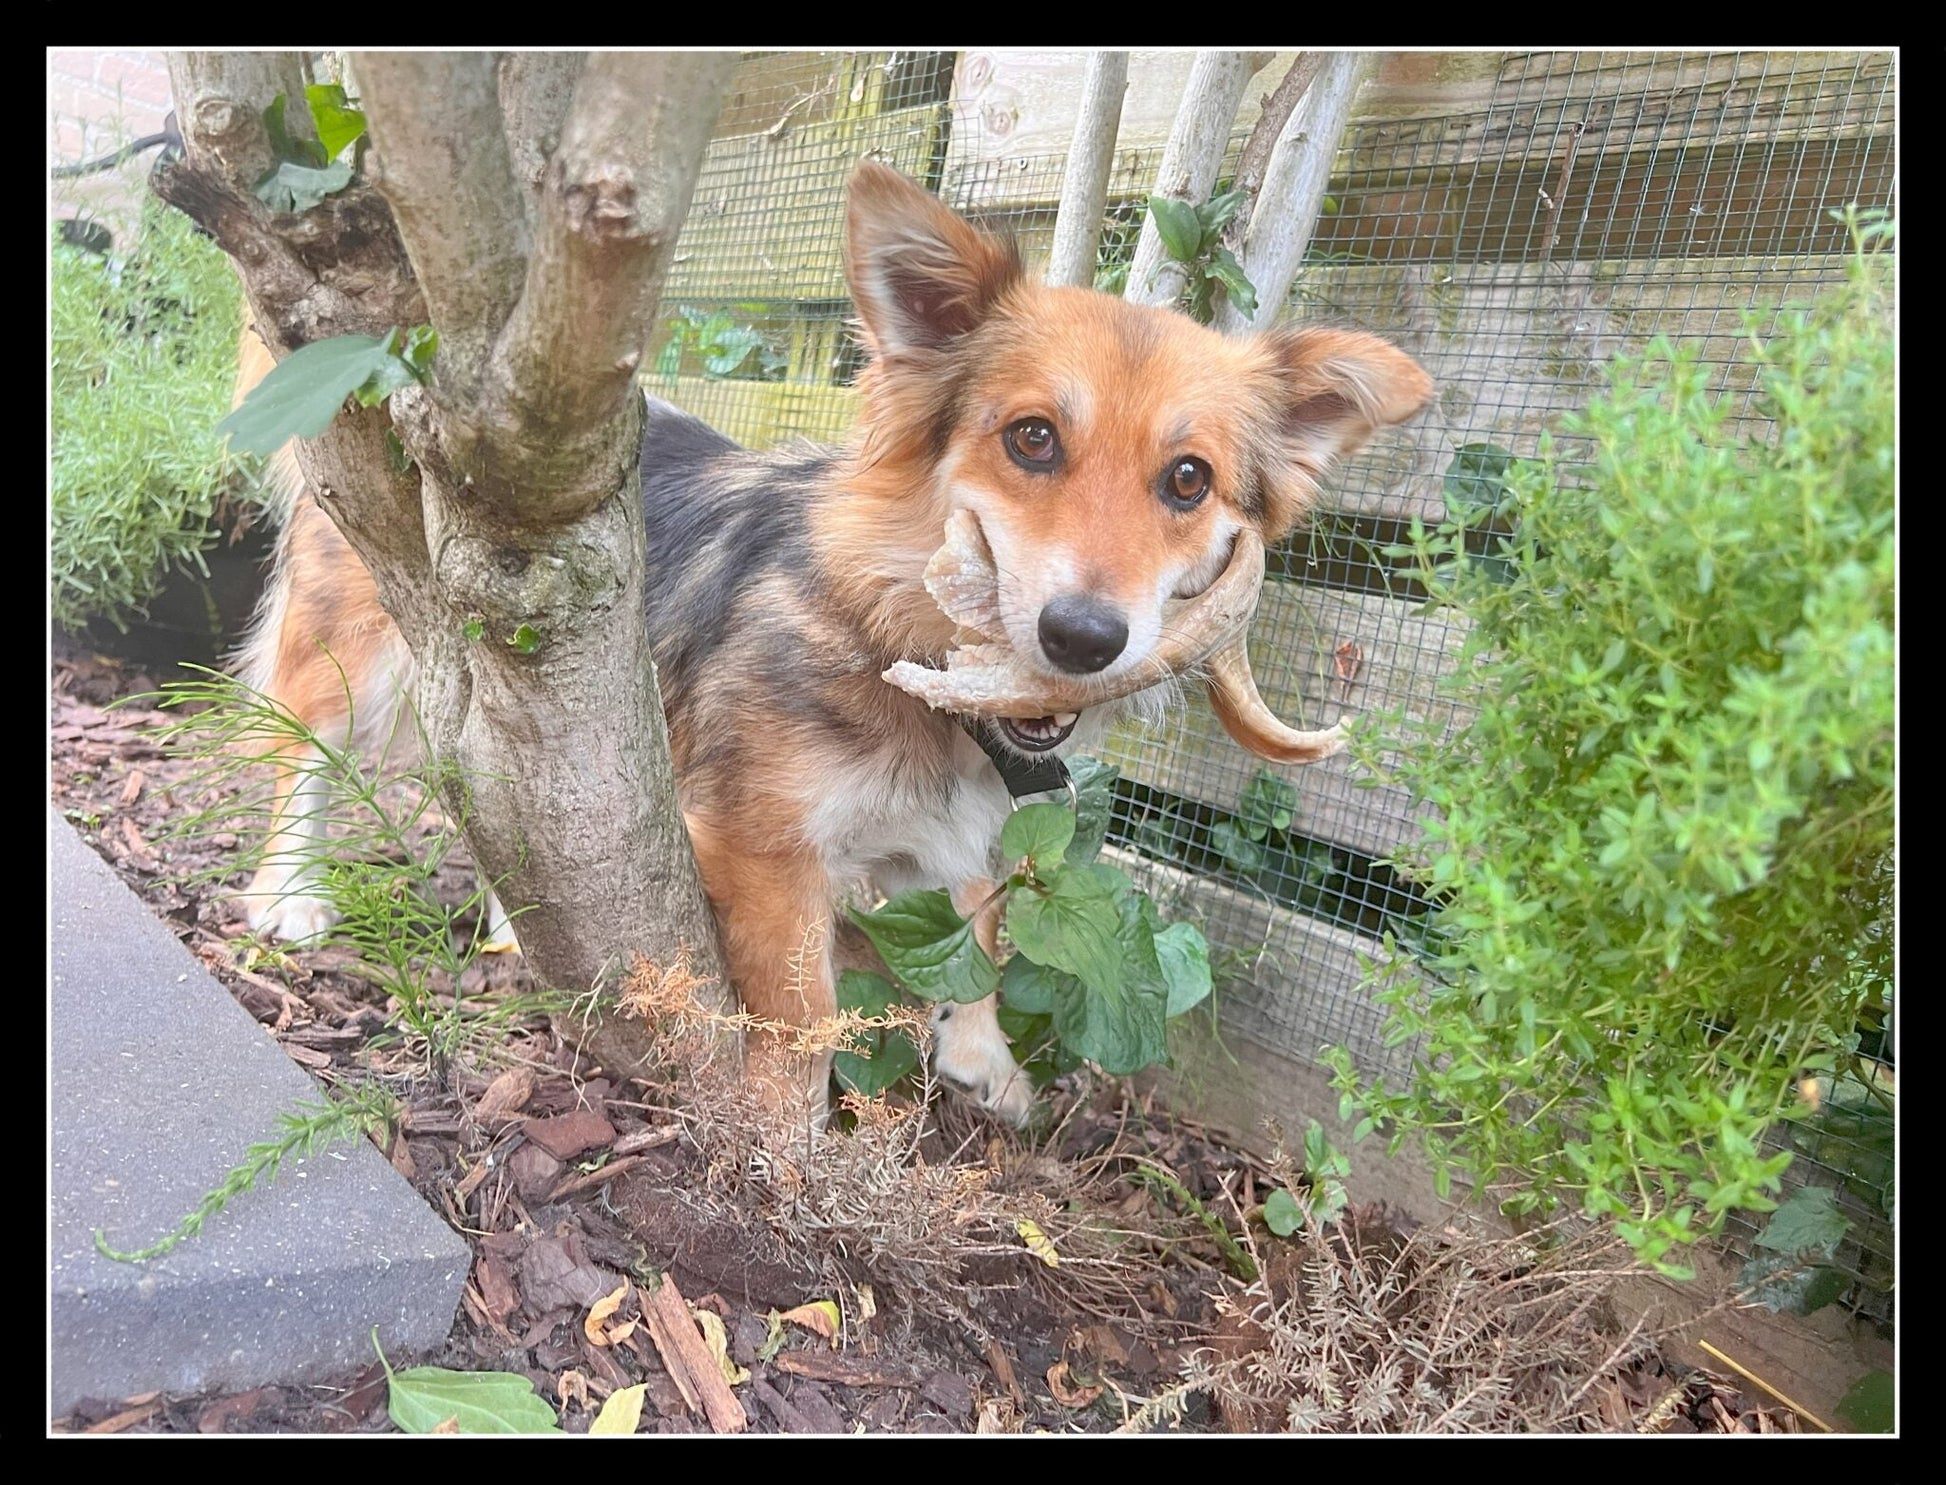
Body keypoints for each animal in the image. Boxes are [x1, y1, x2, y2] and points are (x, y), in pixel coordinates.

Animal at [235, 156, 1440, 1121]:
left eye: (1188, 480)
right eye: (1031, 439)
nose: (1085, 637)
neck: (911, 657)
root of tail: (401, 360)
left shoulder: (963, 841)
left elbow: (983, 933)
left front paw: (981, 1051)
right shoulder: (762, 846)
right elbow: (807, 1002)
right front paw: (787, 1131)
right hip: (360, 648)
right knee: (303, 748)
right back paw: (290, 891)